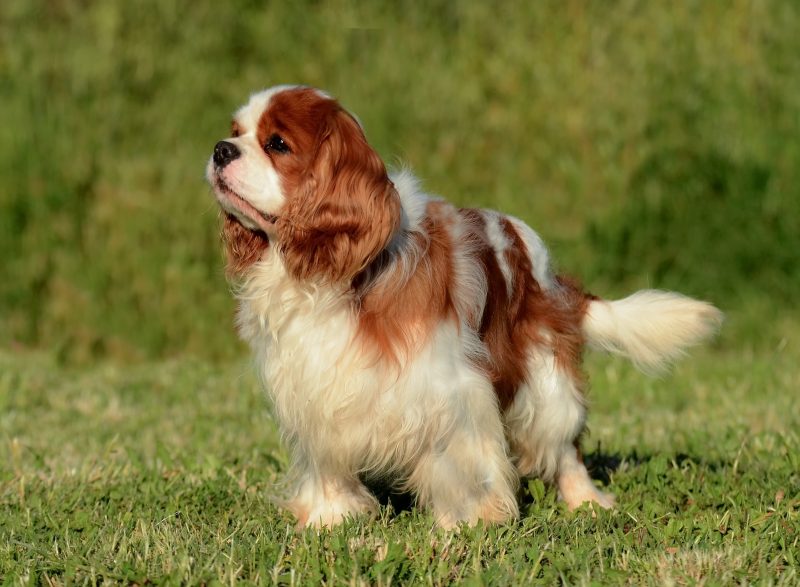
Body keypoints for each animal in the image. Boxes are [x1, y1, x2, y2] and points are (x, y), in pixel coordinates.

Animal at [206, 85, 724, 532]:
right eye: (235, 130)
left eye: (277, 144)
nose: (220, 149)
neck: (336, 276)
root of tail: (551, 274)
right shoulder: (314, 386)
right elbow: (326, 457)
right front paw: (330, 516)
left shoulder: (451, 387)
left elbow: (462, 456)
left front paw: (472, 520)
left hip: (543, 380)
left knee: (565, 447)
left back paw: (587, 502)